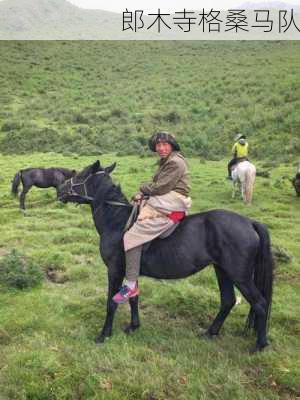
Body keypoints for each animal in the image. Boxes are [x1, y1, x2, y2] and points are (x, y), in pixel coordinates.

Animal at [56, 161, 274, 352]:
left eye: (81, 175)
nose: (59, 189)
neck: (117, 222)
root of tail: (250, 222)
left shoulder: (115, 270)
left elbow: (111, 302)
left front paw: (104, 334)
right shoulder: (131, 270)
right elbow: (133, 297)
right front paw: (134, 326)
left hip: (240, 276)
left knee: (260, 304)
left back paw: (260, 345)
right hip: (222, 271)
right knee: (228, 301)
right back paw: (210, 333)